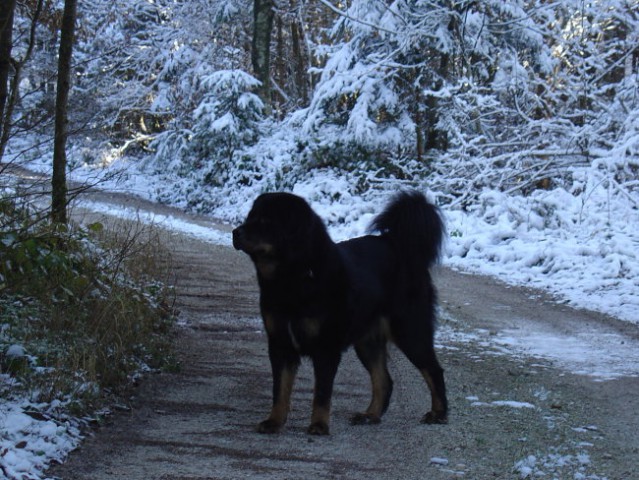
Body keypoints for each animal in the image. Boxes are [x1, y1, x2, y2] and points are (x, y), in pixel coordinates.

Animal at [232, 190, 448, 436]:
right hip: (368, 341)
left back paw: (438, 414)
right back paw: (370, 416)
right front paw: (274, 422)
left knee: (433, 370)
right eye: (250, 217)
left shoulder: (326, 347)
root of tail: (397, 244)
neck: (294, 277)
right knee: (384, 380)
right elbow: (280, 389)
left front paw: (319, 425)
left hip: (410, 331)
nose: (235, 233)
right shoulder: (280, 344)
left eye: (266, 222)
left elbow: (322, 393)